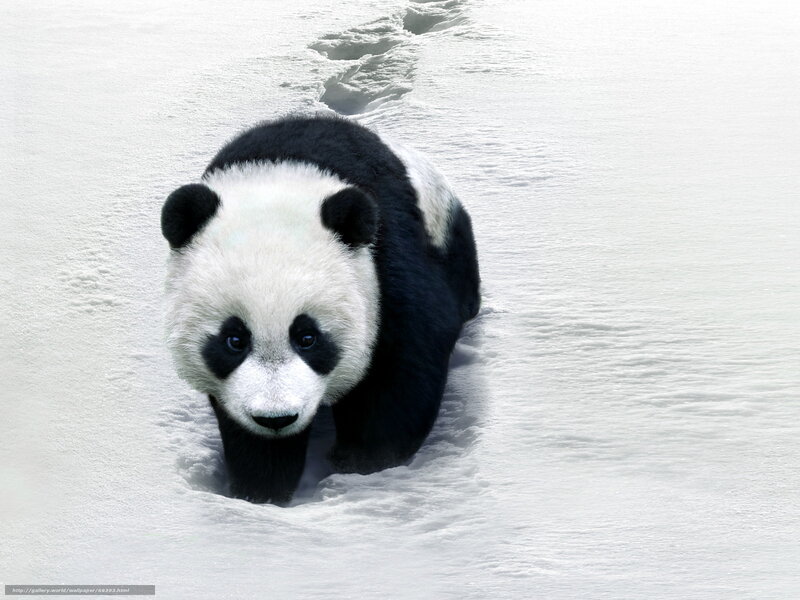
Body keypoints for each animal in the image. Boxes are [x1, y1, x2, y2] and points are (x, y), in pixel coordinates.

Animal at [161, 115, 480, 504]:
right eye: (234, 340)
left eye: (307, 337)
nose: (276, 418)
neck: (279, 174)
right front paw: (260, 487)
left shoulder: (385, 261)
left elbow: (403, 365)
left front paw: (362, 463)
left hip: (445, 230)